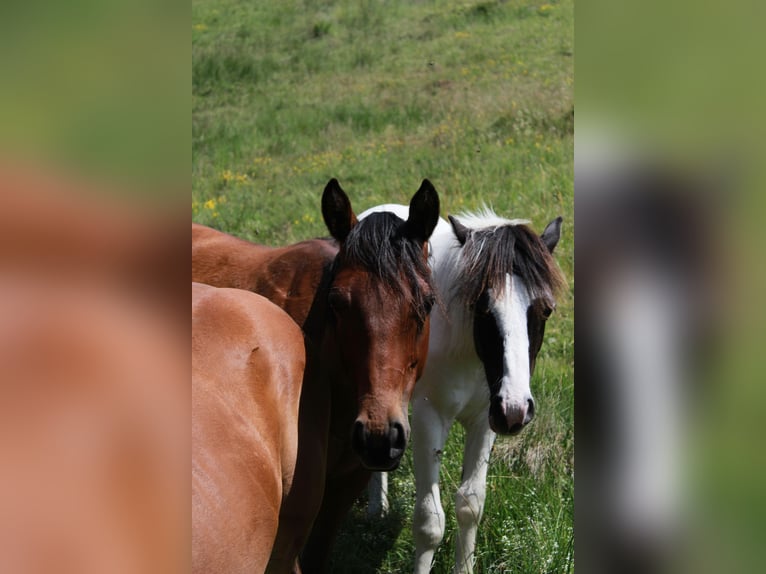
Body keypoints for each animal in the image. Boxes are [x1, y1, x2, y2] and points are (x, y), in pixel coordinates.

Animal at [360, 203, 565, 574]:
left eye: (545, 309)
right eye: (482, 307)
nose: (517, 409)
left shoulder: (486, 419)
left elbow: (470, 505)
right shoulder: (429, 417)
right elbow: (429, 523)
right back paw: (375, 509)